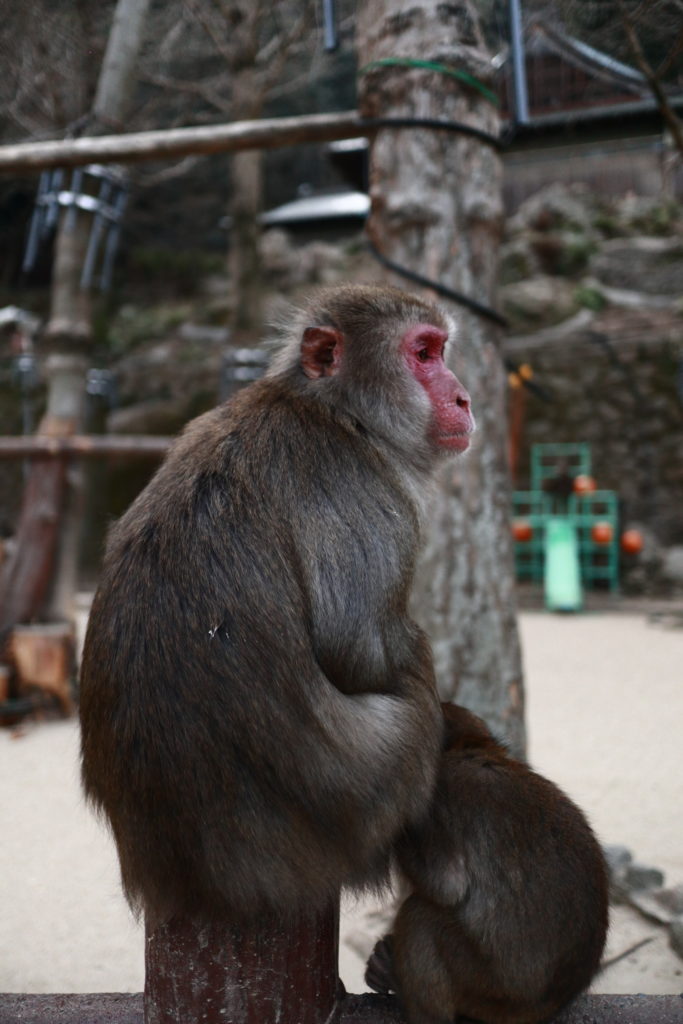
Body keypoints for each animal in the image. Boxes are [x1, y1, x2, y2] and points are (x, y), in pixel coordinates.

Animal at [78, 286, 475, 929]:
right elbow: (356, 649)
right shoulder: (370, 494)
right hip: (377, 798)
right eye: (423, 353)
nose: (463, 396)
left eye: (440, 350)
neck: (338, 413)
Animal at [366, 704, 610, 1024]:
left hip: (490, 990)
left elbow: (447, 884)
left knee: (420, 916)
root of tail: (547, 1007)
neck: (475, 749)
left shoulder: (441, 795)